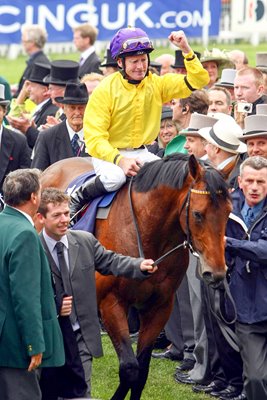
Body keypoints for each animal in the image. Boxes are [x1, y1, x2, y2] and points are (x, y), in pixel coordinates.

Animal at [39, 154, 232, 400]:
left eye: (228, 212)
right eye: (198, 214)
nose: (216, 273)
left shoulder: (160, 307)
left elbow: (141, 371)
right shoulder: (111, 303)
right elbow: (130, 368)